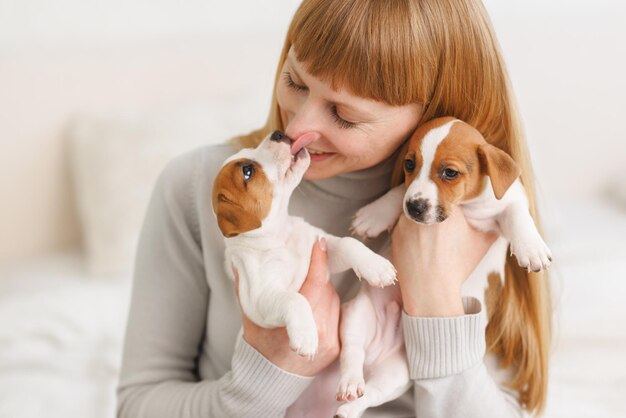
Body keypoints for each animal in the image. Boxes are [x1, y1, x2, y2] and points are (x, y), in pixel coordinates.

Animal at [210, 131, 394, 360]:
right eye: (247, 171)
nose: (278, 133)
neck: (281, 237)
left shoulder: (322, 247)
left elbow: (349, 243)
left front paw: (376, 266)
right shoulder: (259, 298)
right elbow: (294, 299)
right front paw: (306, 335)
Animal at [332, 116, 552, 416]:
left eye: (449, 172)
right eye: (409, 164)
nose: (414, 208)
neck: (466, 206)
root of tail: (376, 352)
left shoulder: (510, 203)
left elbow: (518, 214)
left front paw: (531, 247)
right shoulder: (408, 190)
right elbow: (400, 190)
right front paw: (375, 214)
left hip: (397, 374)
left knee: (372, 393)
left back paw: (351, 407)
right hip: (357, 316)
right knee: (352, 353)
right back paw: (350, 384)